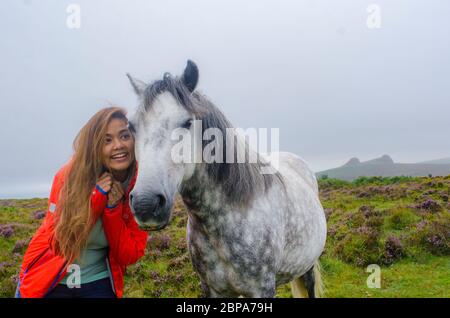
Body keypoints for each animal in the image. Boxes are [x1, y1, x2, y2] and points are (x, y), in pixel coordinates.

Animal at [126, 60, 326, 298]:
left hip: (308, 268)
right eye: (131, 126)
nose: (146, 204)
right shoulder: (213, 288)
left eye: (187, 122)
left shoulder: (263, 289)